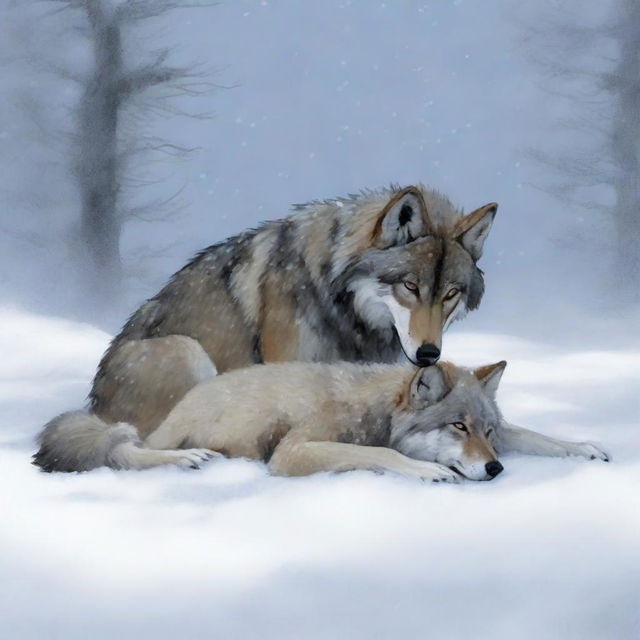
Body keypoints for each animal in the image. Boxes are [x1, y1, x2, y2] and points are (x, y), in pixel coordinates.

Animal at [87, 185, 498, 436]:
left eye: (450, 294)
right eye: (410, 286)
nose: (429, 354)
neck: (335, 299)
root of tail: (93, 407)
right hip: (184, 350)